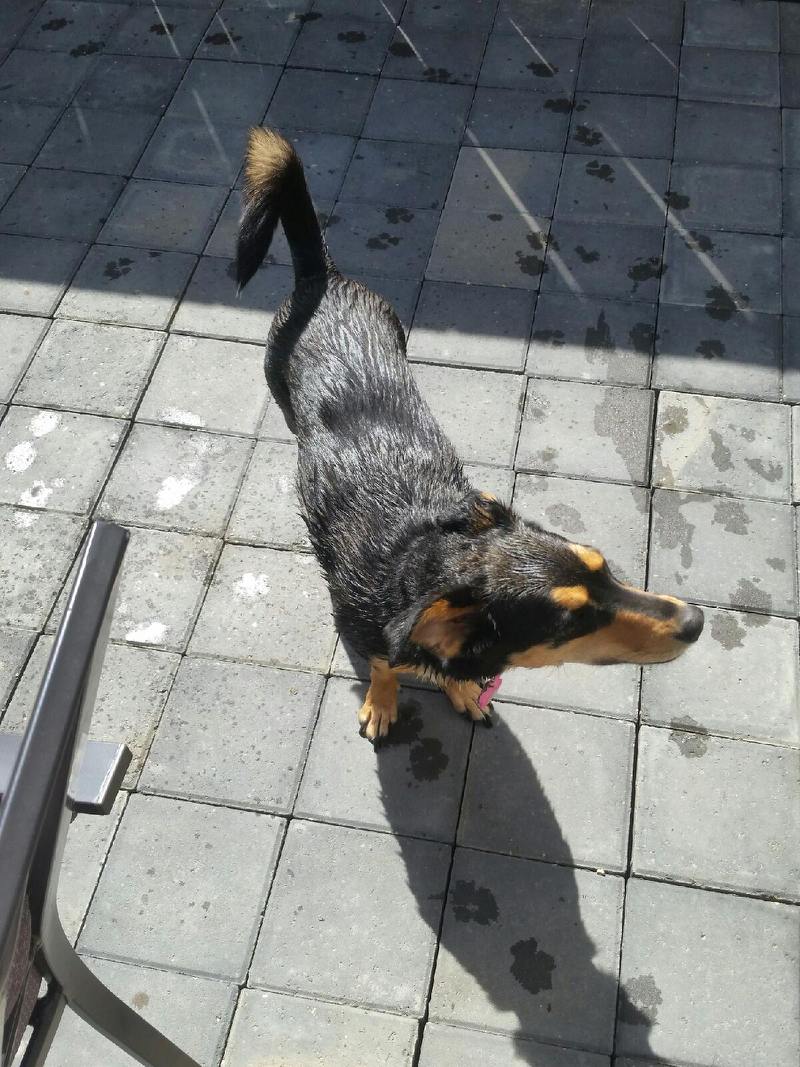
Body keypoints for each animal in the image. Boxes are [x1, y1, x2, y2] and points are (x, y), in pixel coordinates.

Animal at [236, 128, 704, 742]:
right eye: (572, 620)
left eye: (604, 567)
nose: (696, 620)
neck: (420, 560)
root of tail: (322, 277)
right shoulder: (365, 629)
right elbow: (383, 664)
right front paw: (383, 701)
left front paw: (460, 691)